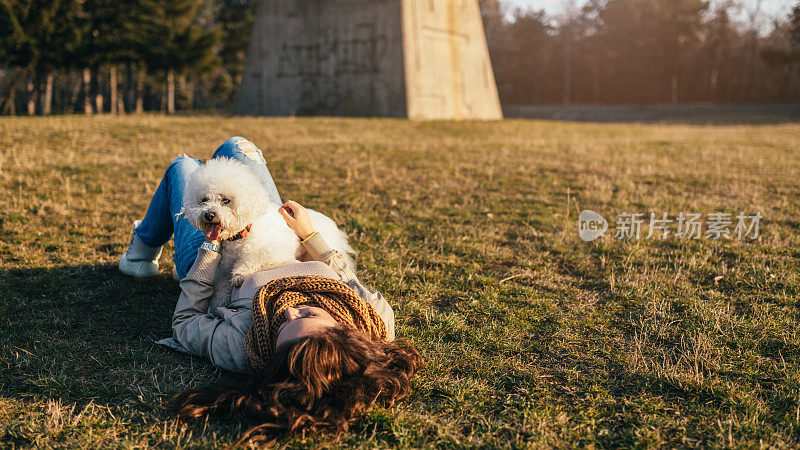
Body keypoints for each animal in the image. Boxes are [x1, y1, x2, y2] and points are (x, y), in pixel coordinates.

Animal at [183, 159, 358, 312]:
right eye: (204, 200)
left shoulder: (274, 251)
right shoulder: (223, 271)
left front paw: (240, 273)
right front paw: (217, 303)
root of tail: (332, 225)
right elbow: (221, 287)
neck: (241, 235)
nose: (208, 215)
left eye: (226, 200)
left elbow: (252, 257)